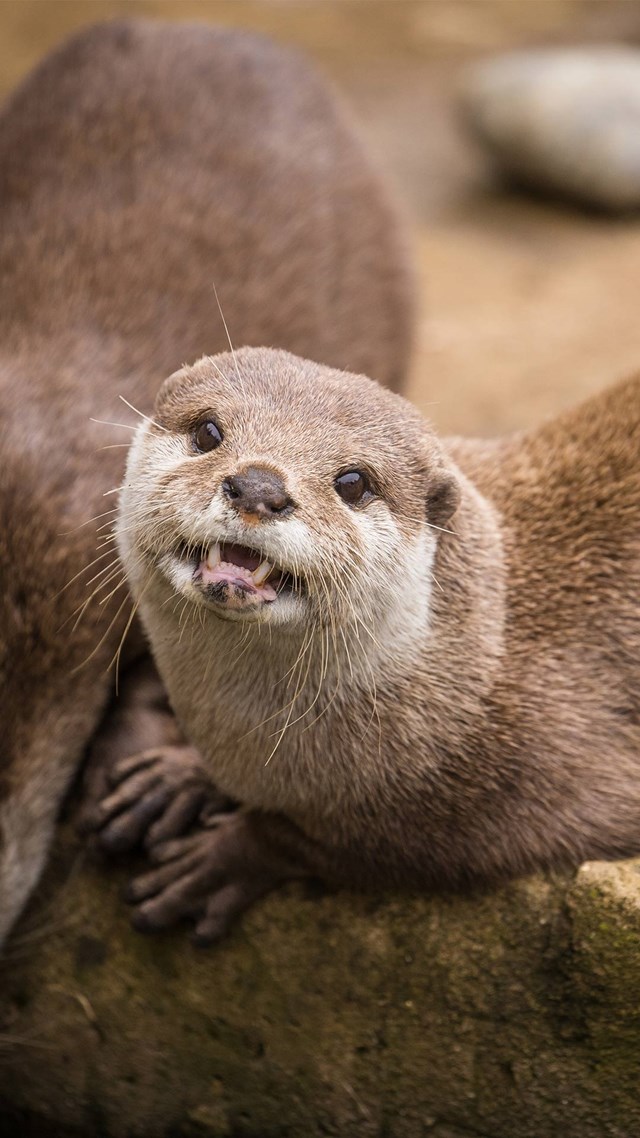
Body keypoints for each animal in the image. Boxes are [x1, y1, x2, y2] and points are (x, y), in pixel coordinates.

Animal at [87, 350, 637, 946]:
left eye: (353, 482)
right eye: (208, 431)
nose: (258, 487)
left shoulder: (538, 787)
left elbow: (332, 846)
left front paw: (223, 857)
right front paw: (175, 778)